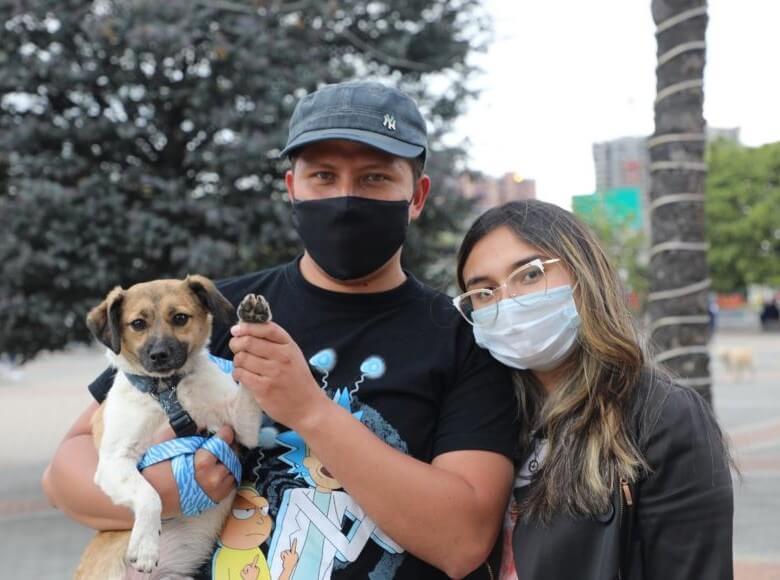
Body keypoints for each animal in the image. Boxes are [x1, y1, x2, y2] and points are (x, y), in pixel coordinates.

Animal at [74, 276, 268, 580]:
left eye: (179, 318)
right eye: (138, 323)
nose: (159, 355)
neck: (169, 392)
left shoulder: (244, 427)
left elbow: (249, 385)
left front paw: (253, 321)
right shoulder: (113, 462)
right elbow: (149, 494)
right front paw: (146, 546)